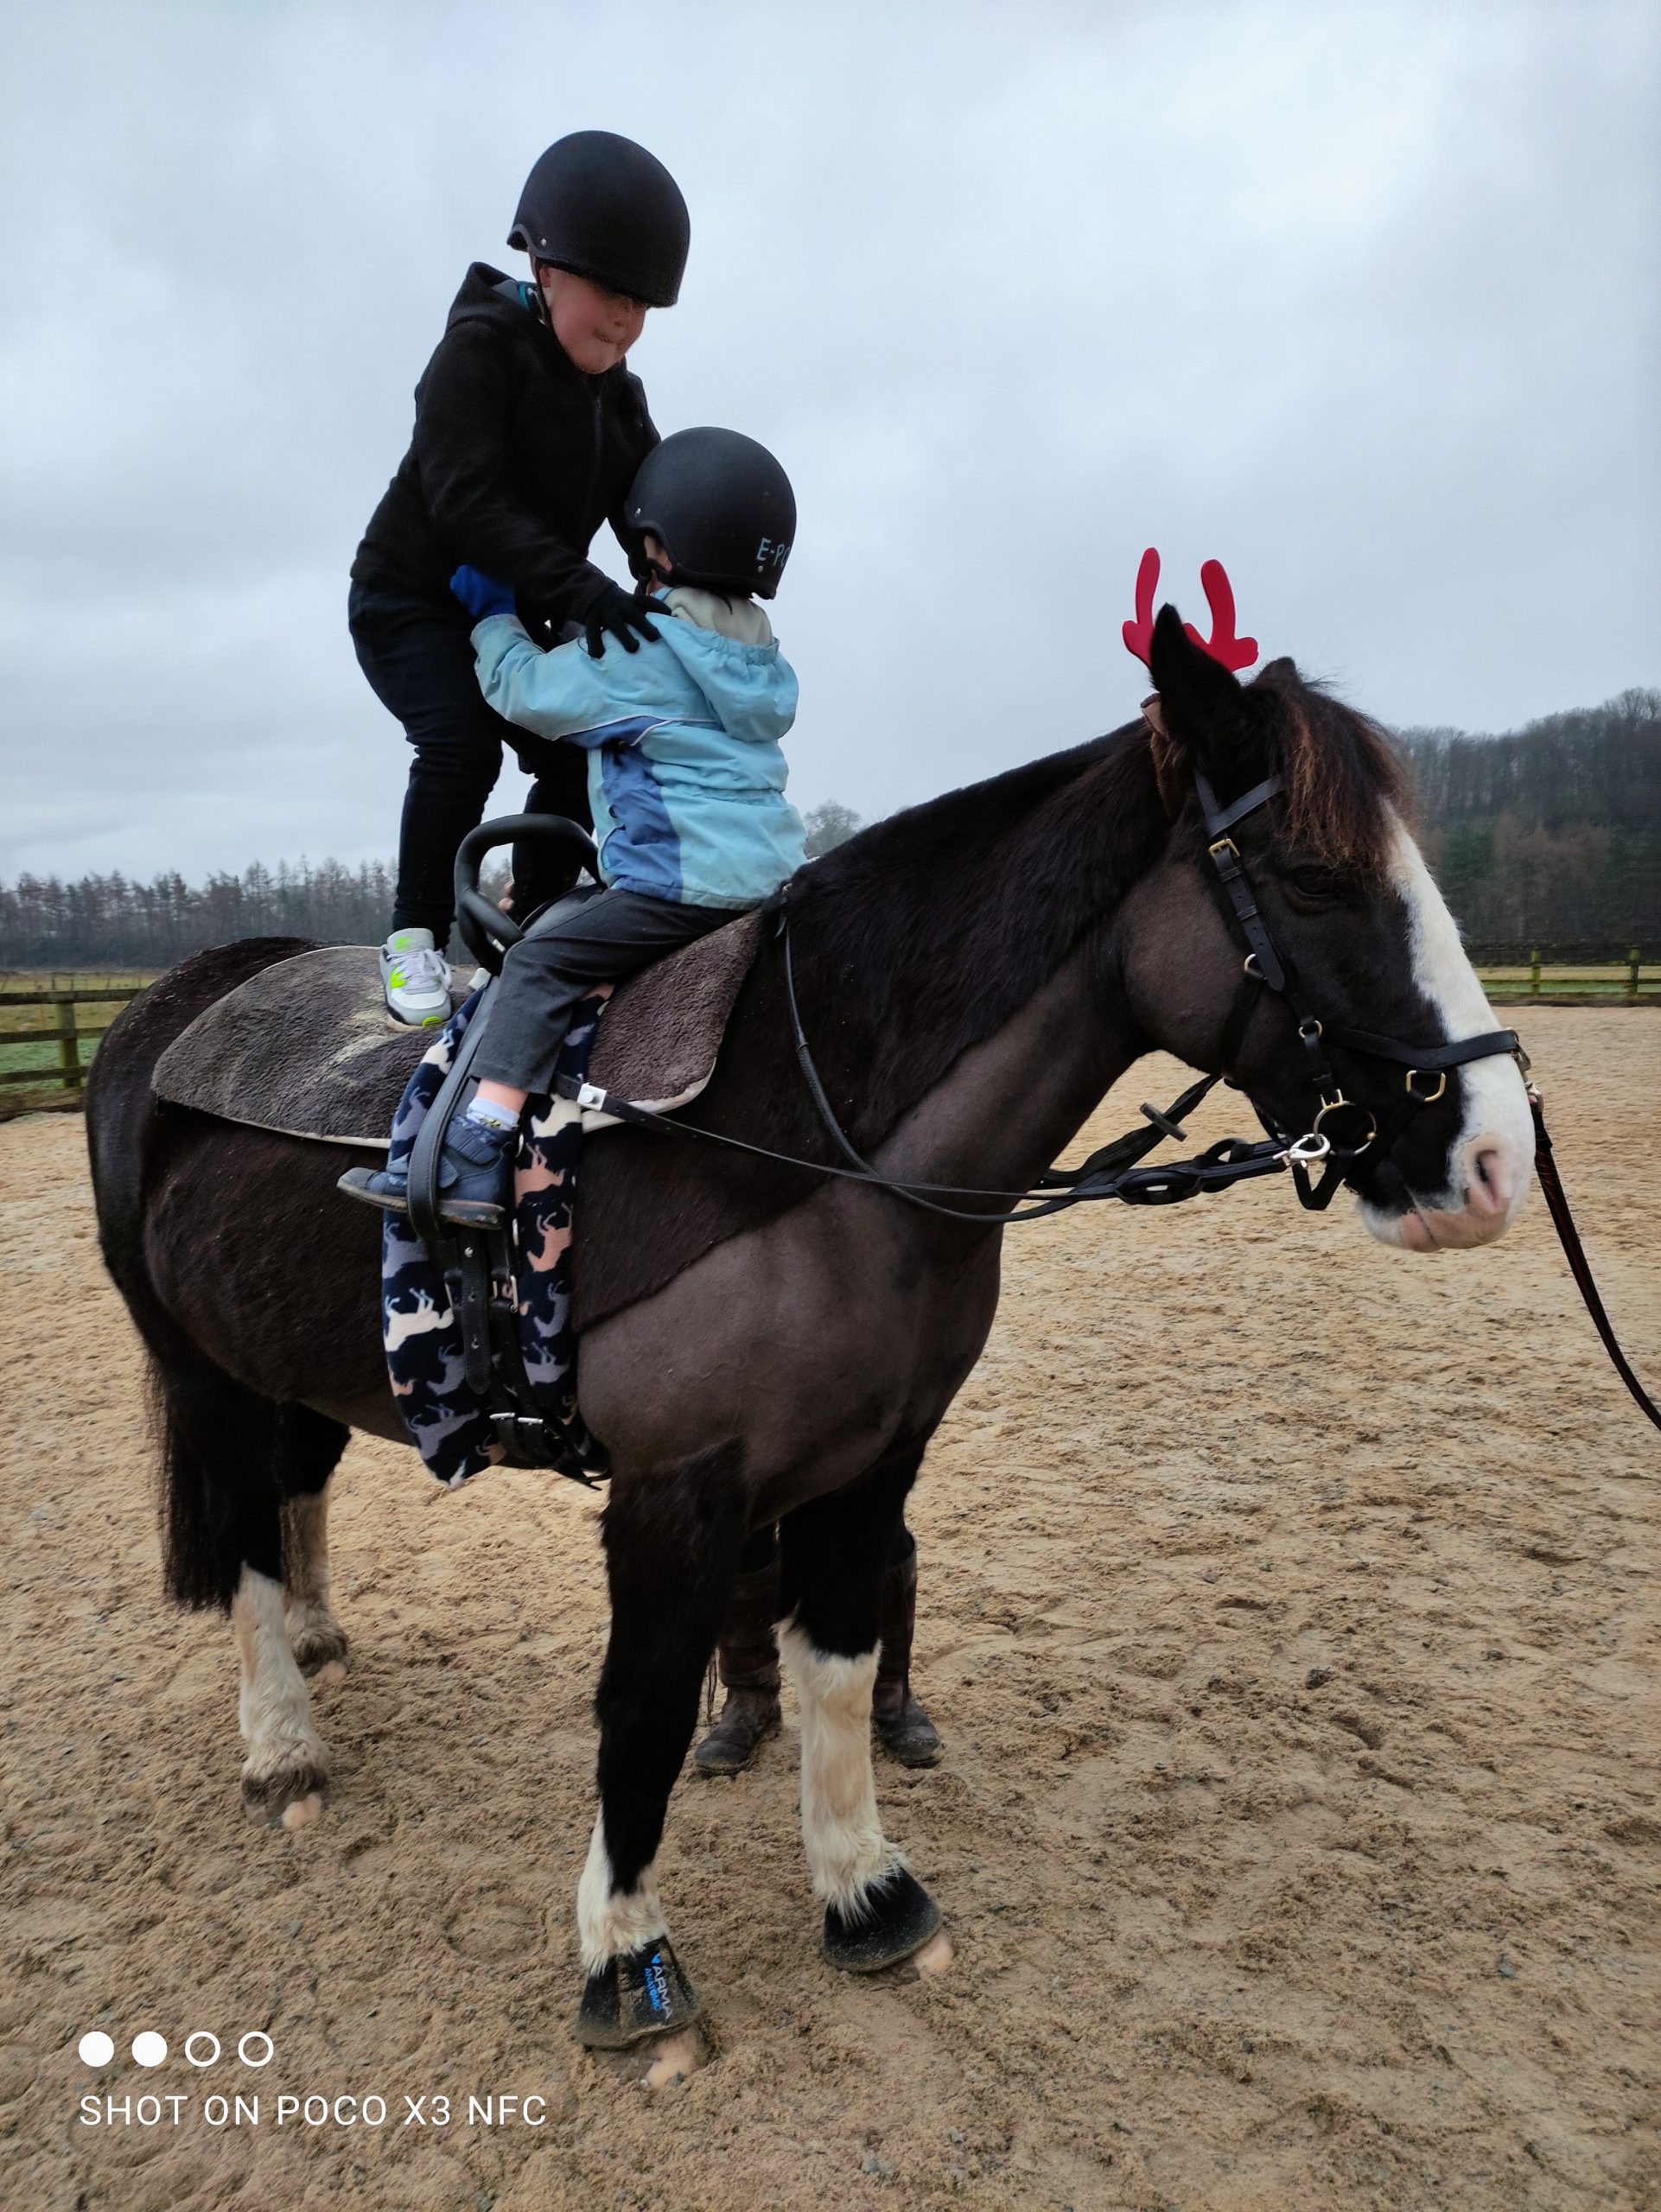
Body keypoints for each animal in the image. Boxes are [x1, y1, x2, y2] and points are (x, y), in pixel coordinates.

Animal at [85, 604, 1533, 2060]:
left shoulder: (873, 1459)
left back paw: (320, 1641)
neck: (819, 1148)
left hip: (287, 1366)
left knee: (294, 1490)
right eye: (1309, 877)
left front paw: (864, 1892)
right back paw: (281, 1744)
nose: (1489, 1158)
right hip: (197, 1369)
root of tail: (177, 1000)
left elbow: (836, 1668)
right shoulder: (670, 1495)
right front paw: (626, 1956)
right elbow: (642, 1712)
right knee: (239, 1533)